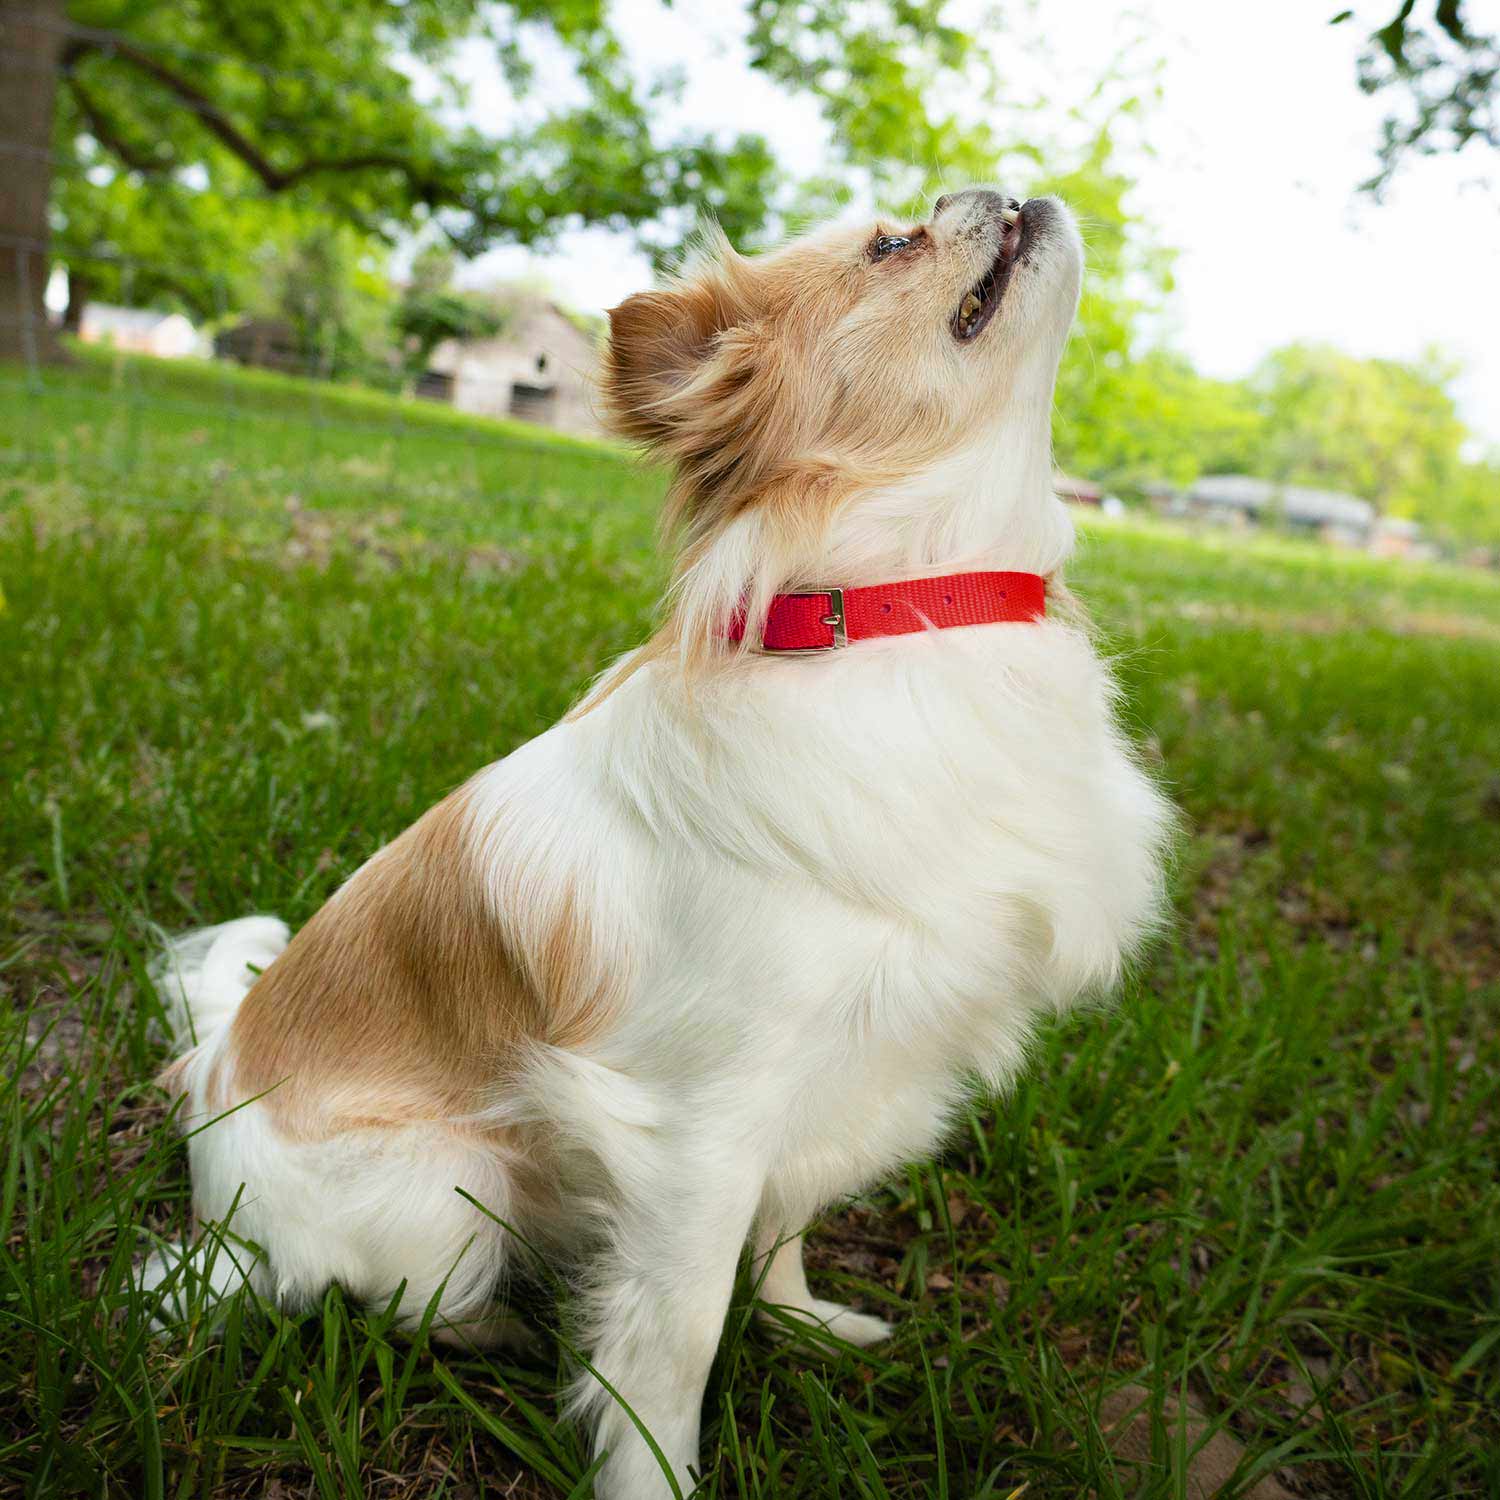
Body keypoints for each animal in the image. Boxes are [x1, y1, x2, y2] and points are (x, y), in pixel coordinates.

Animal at [147, 187, 1172, 1498]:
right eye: (891, 243)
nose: (990, 186)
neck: (914, 611)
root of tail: (209, 1093)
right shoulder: (699, 1128)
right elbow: (675, 1337)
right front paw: (655, 1473)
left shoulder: (820, 1092)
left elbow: (782, 1228)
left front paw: (801, 1322)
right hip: (448, 1188)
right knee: (387, 1298)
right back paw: (502, 1323)